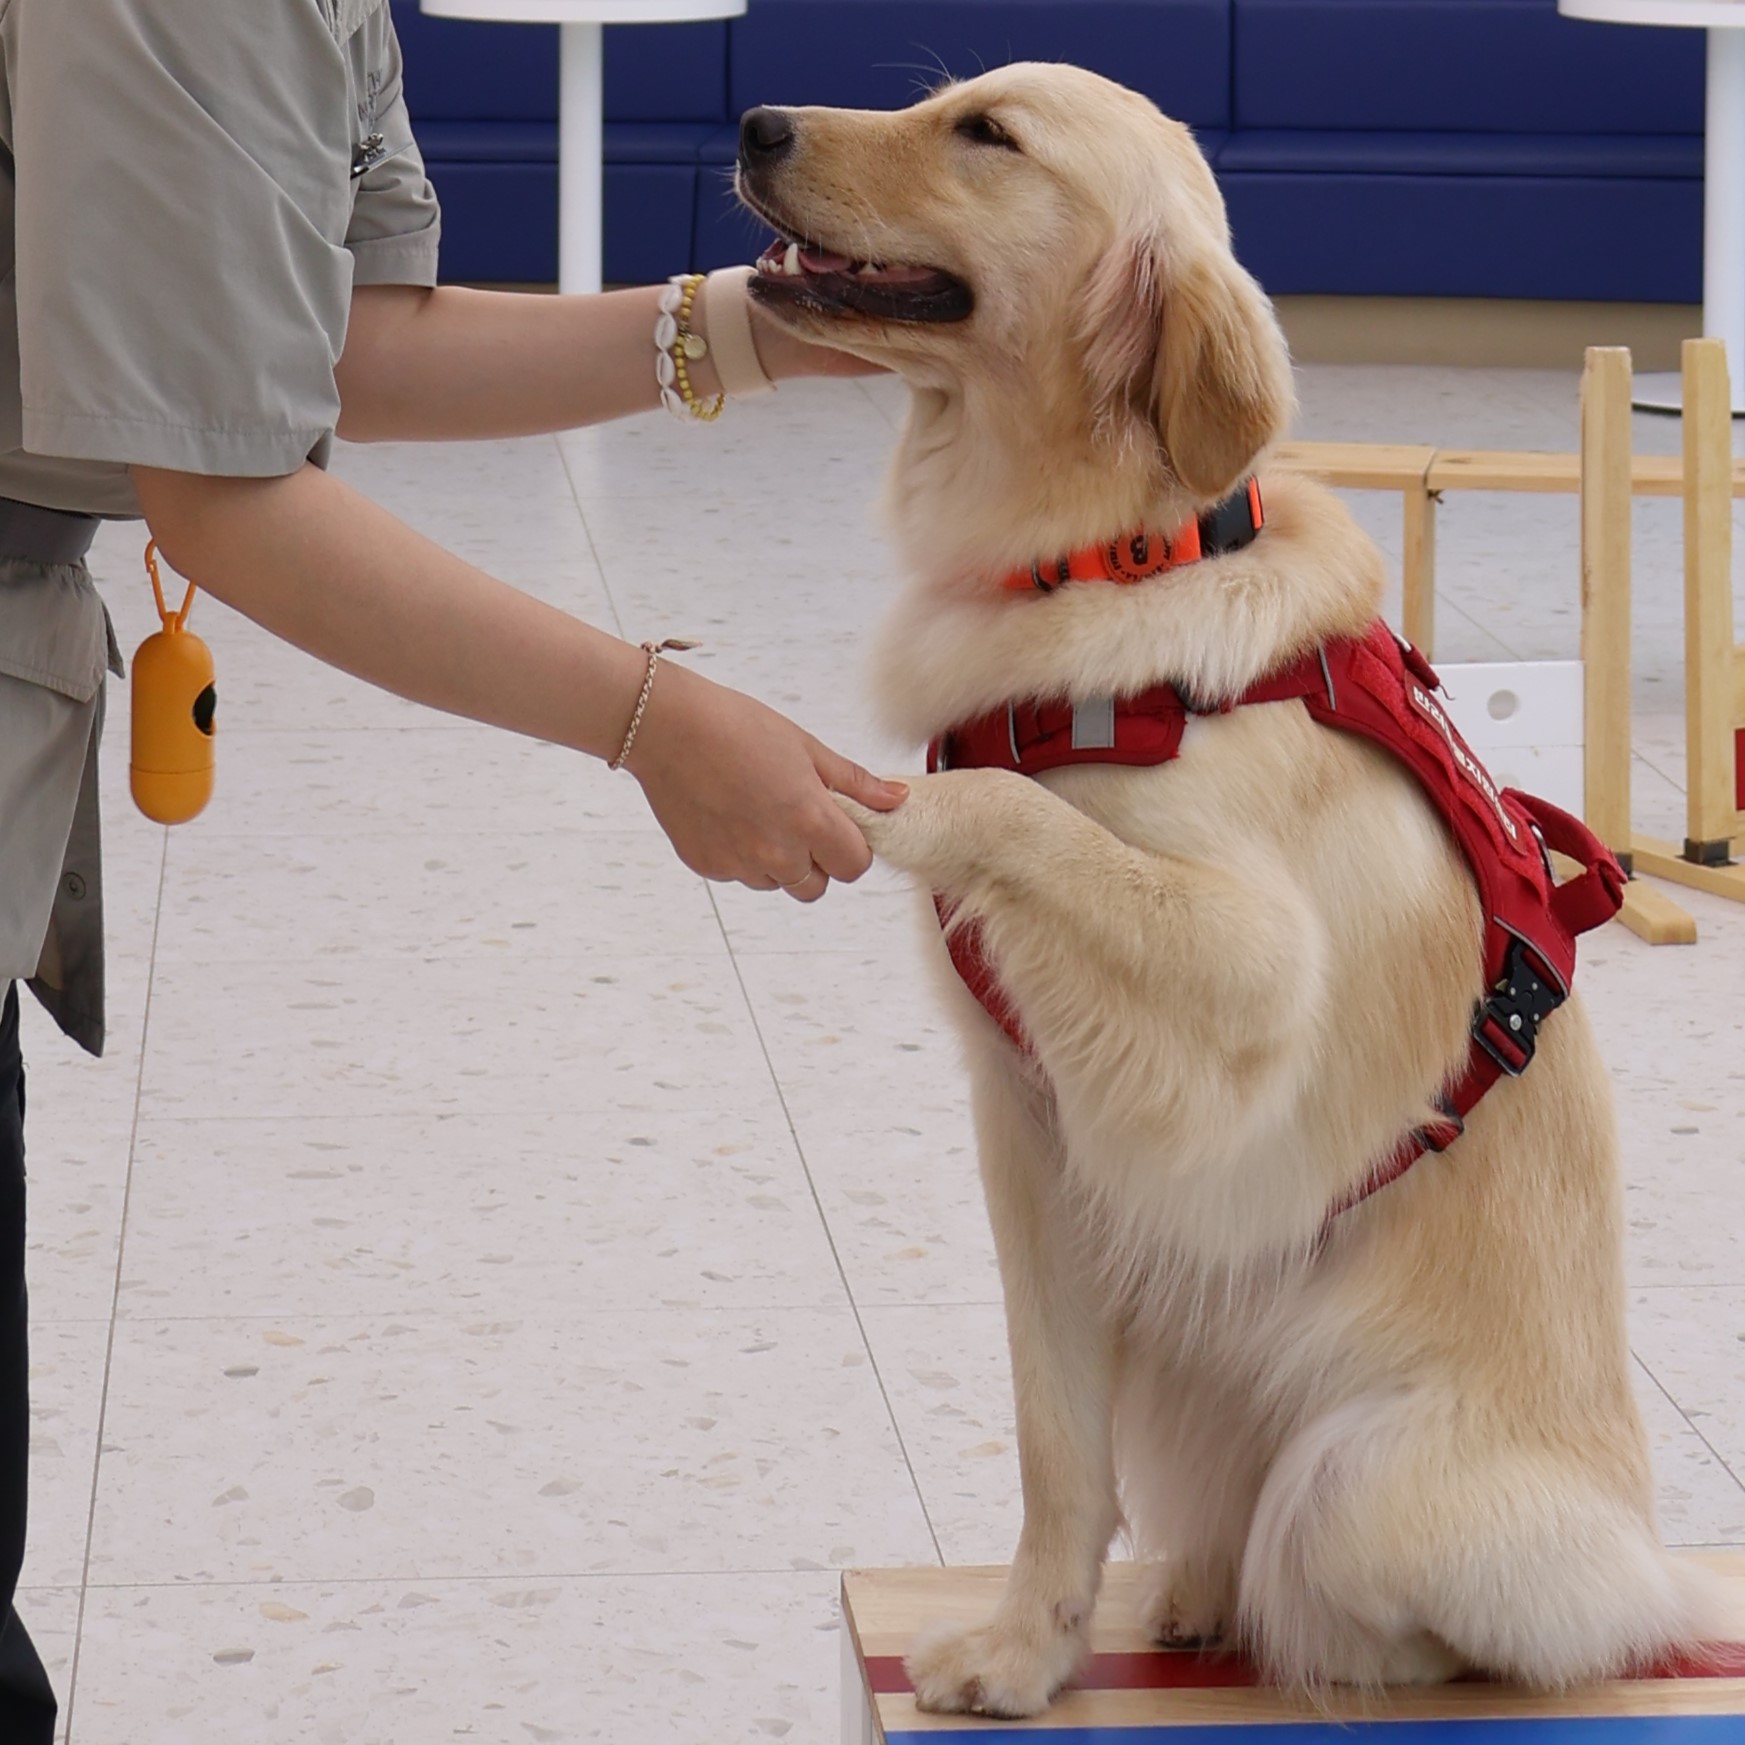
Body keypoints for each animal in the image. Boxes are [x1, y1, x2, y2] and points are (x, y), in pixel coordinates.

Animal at [729, 58, 1724, 1717]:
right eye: (946, 96)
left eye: (987, 135)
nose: (751, 126)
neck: (1107, 564)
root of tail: (1653, 1559)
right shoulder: (1027, 1141)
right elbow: (1057, 1447)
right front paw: (1031, 1648)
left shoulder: (1251, 977)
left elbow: (1003, 802)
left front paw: (884, 806)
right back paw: (1196, 1595)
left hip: (1365, 1483)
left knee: (1431, 1615)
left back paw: (1323, 1631)